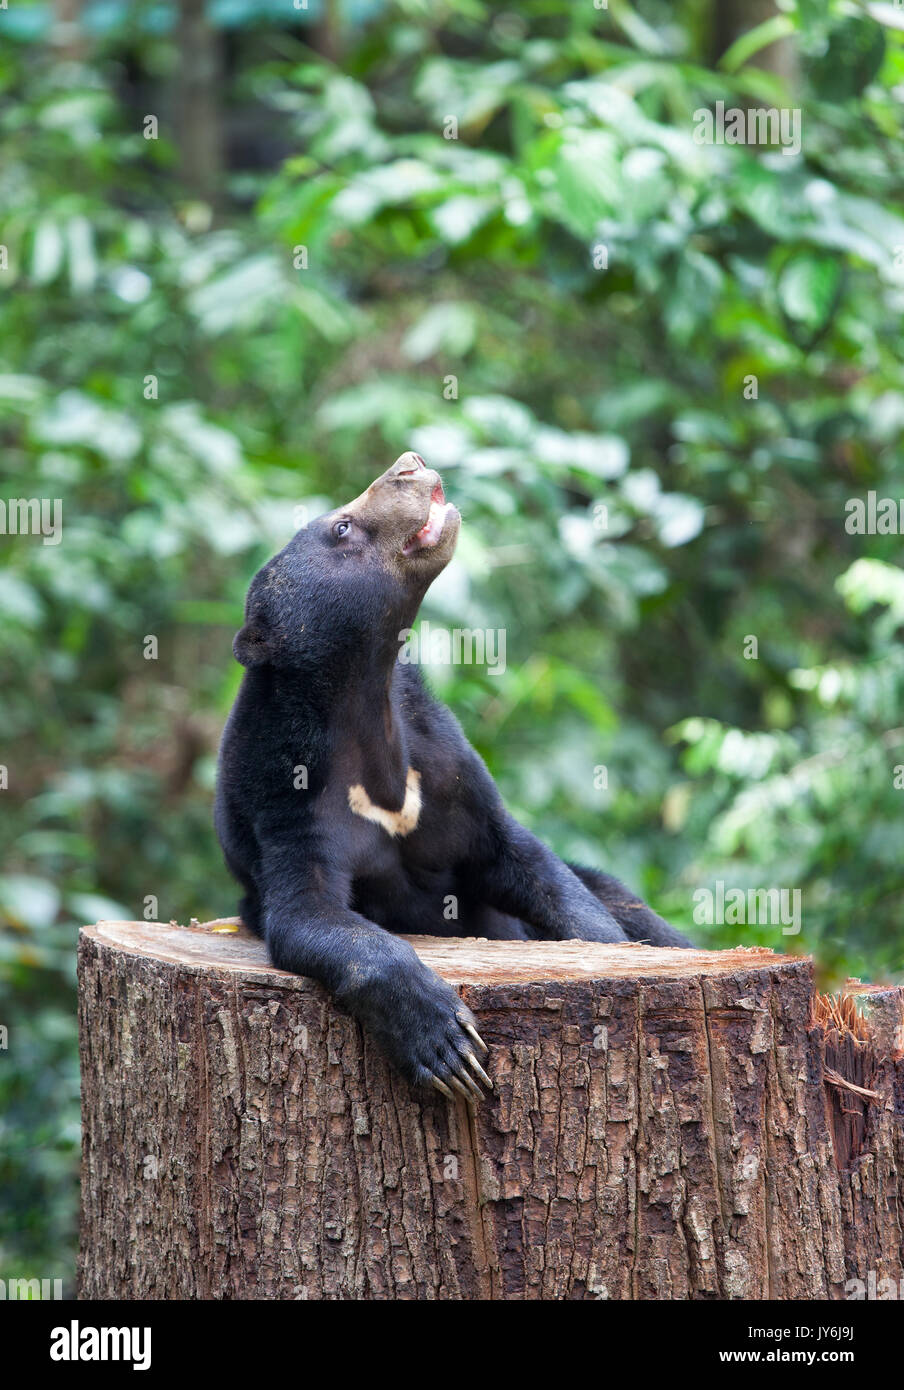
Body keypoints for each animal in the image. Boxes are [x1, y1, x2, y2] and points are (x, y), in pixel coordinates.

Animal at [215, 451, 690, 1103]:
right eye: (342, 527)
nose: (410, 463)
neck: (364, 702)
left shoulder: (442, 763)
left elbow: (529, 864)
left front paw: (616, 952)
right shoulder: (285, 793)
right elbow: (310, 917)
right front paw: (447, 1044)